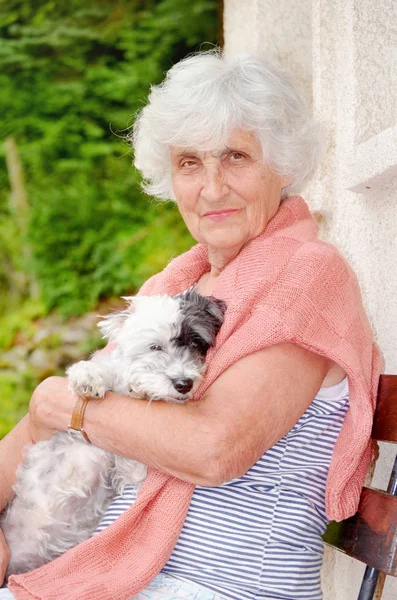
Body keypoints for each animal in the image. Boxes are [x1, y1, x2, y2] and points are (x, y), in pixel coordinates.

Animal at [1, 292, 226, 580]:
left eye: (197, 343)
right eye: (155, 347)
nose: (184, 384)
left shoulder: (130, 470)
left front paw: (139, 389)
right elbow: (101, 370)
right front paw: (89, 377)